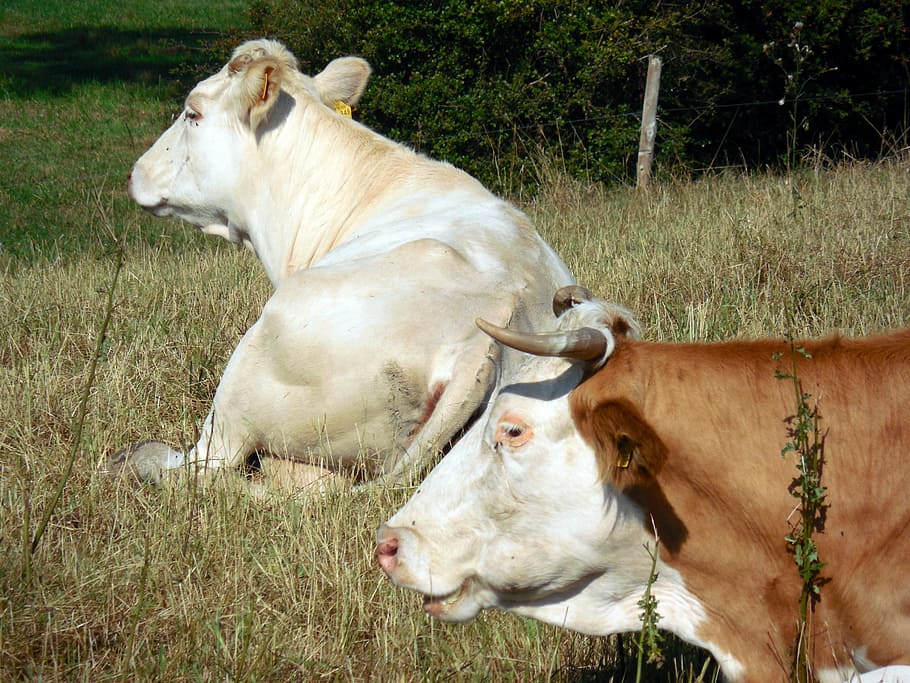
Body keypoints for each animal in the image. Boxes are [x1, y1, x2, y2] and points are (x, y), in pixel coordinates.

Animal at [112, 39, 573, 488]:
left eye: (193, 112)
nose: (133, 173)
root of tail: (485, 333)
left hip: (248, 370)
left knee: (203, 468)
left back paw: (134, 459)